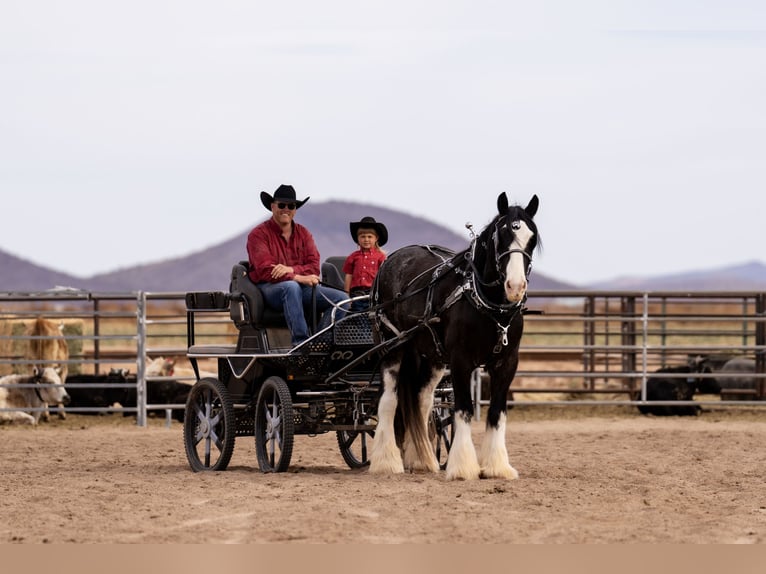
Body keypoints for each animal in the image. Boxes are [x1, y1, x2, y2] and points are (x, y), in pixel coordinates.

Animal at [370, 194, 540, 482]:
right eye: (502, 234)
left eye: (533, 236)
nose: (515, 287)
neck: (488, 306)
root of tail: (392, 258)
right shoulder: (461, 361)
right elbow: (464, 408)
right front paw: (463, 467)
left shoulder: (507, 363)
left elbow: (497, 411)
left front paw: (497, 466)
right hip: (392, 346)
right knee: (389, 400)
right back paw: (386, 461)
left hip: (431, 357)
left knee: (421, 400)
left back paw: (421, 459)